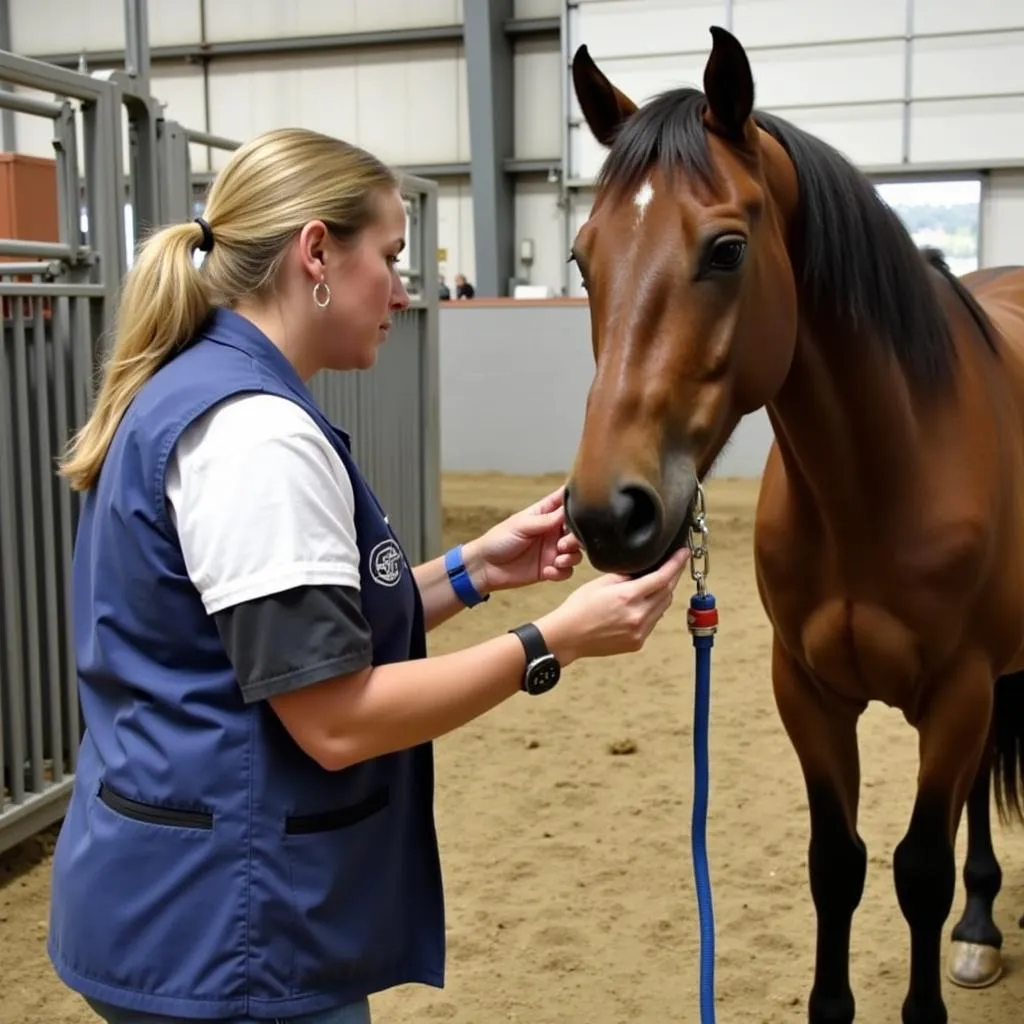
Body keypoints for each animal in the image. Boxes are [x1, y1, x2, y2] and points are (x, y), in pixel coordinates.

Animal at [565, 24, 1024, 1024]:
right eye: (583, 258)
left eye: (728, 250)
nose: (608, 513)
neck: (879, 484)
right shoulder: (806, 692)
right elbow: (835, 866)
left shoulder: (960, 694)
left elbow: (918, 870)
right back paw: (980, 927)